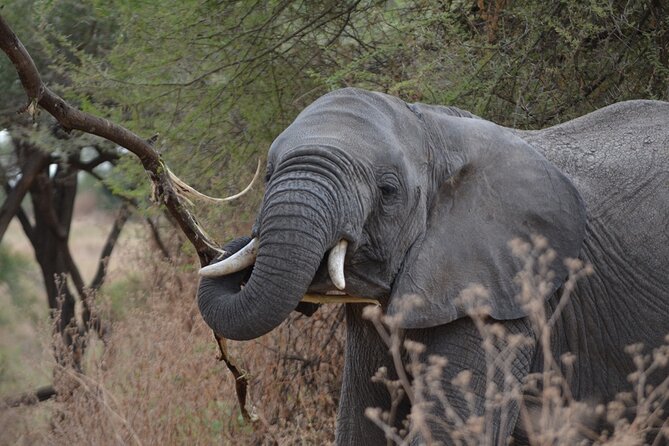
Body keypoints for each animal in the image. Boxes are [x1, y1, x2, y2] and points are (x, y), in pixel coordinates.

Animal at [196, 86, 668, 442]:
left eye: (387, 191)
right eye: (268, 174)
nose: (234, 242)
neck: (435, 130)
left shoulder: (499, 292)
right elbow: (362, 421)